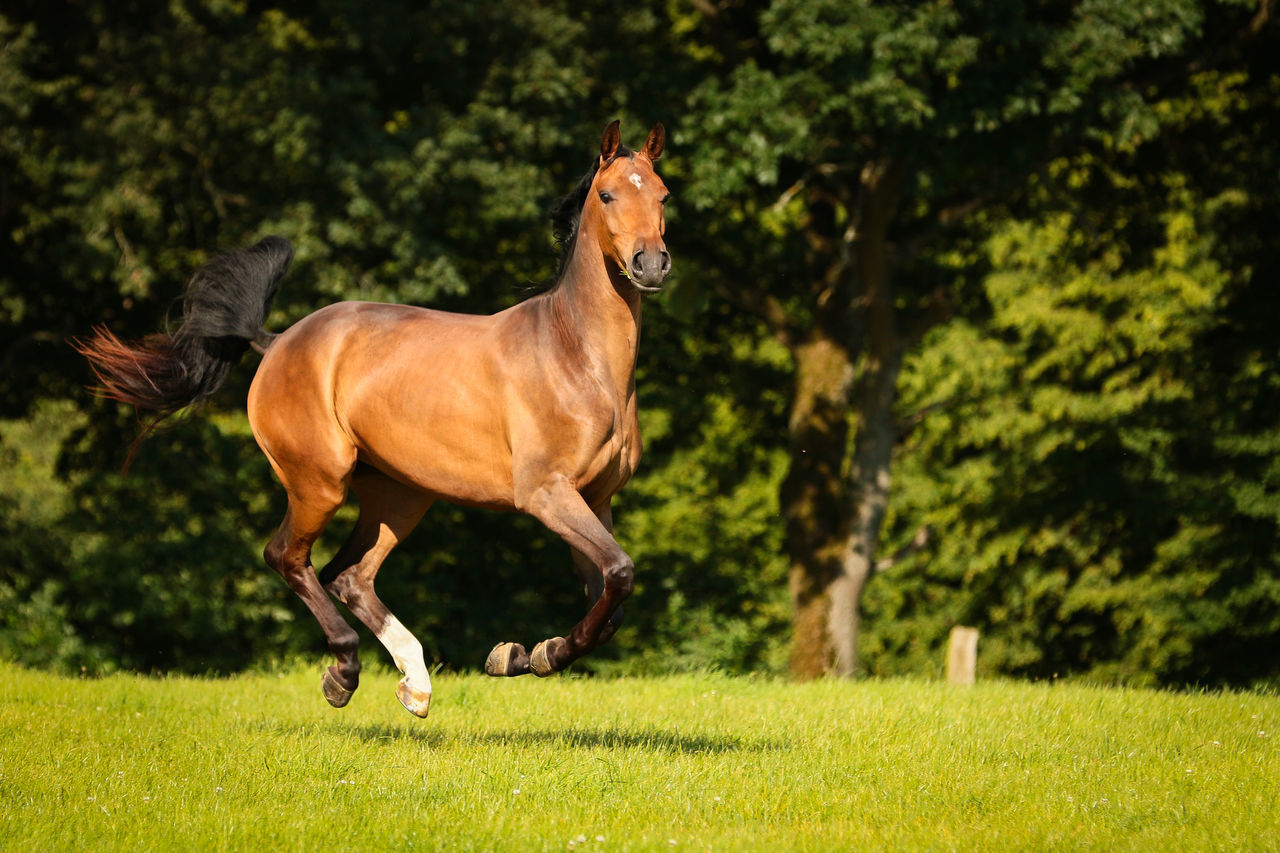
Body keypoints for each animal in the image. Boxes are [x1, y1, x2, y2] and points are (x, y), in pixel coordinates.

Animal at [72, 121, 670, 717]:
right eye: (607, 194)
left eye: (663, 195)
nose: (651, 264)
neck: (576, 357)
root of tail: (277, 341)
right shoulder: (547, 493)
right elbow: (619, 574)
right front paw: (529, 654)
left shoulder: (594, 498)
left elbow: (609, 600)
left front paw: (524, 655)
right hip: (320, 482)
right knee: (289, 557)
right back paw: (343, 673)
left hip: (398, 495)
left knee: (350, 575)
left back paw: (416, 683)